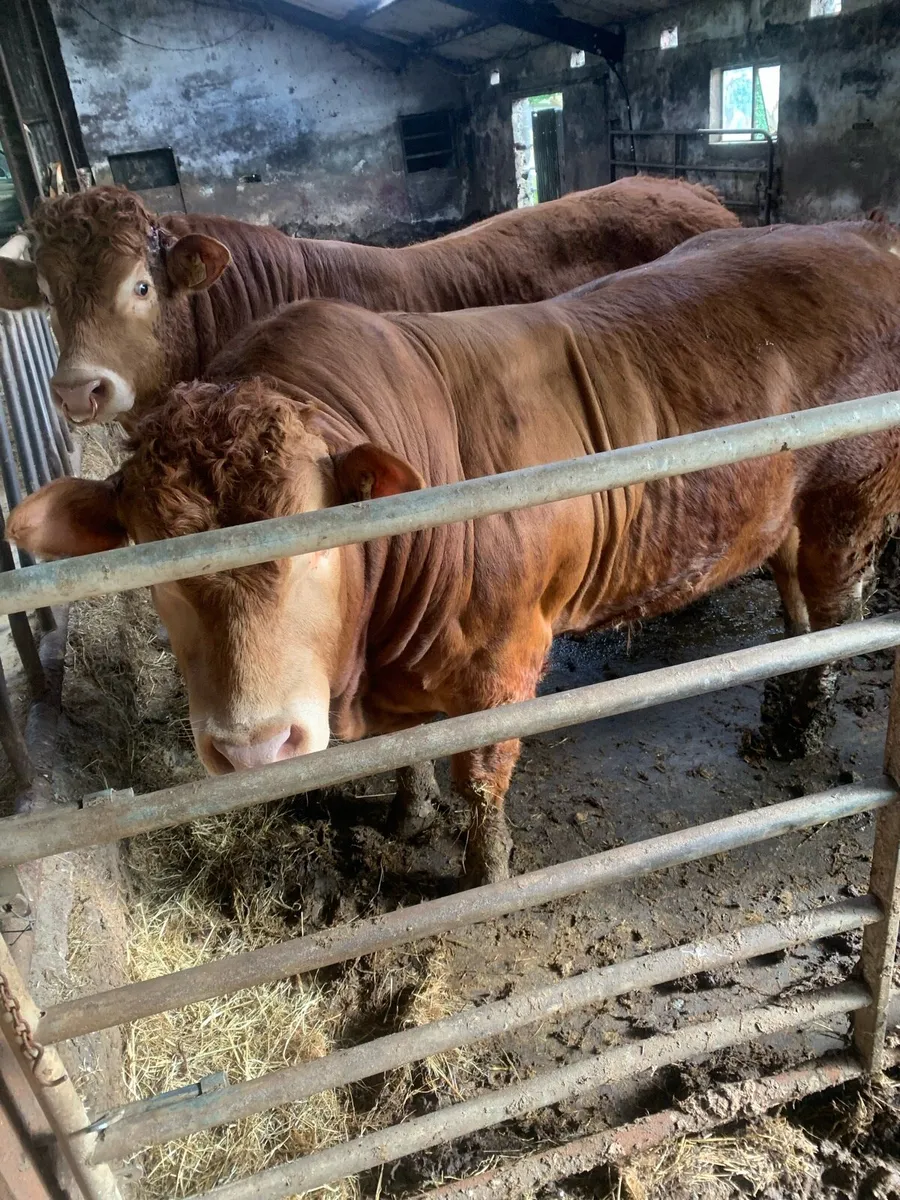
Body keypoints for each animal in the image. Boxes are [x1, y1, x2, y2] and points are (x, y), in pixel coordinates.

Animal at [11, 221, 900, 887]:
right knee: (797, 608)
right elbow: (408, 749)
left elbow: (481, 771)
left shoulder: (507, 657)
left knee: (837, 612)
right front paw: (409, 813)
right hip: (784, 521)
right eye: (152, 566)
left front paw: (486, 869)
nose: (252, 748)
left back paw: (799, 730)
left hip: (847, 507)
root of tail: (861, 236)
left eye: (316, 545)